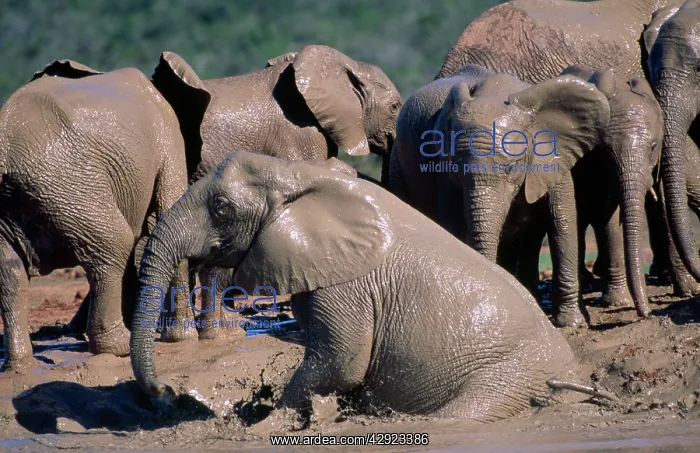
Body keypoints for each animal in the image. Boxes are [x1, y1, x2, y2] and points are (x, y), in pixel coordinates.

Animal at [0, 59, 206, 370]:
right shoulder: (168, 135)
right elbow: (169, 211)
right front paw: (183, 339)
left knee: (10, 273)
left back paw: (20, 365)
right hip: (68, 185)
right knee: (114, 244)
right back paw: (118, 346)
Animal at [129, 150, 602, 421]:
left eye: (222, 208)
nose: (164, 393)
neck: (299, 174)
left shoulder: (347, 286)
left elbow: (342, 361)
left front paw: (262, 420)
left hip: (505, 378)